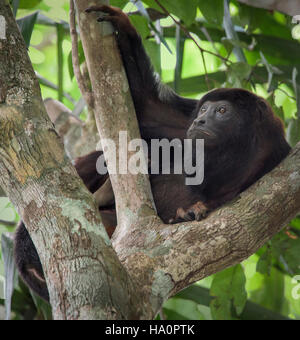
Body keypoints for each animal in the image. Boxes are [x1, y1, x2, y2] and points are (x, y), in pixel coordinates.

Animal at [13, 5, 290, 302]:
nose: (200, 121)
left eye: (222, 110)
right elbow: (147, 109)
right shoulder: (183, 124)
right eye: (204, 109)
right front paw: (124, 25)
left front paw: (190, 210)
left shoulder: (276, 152)